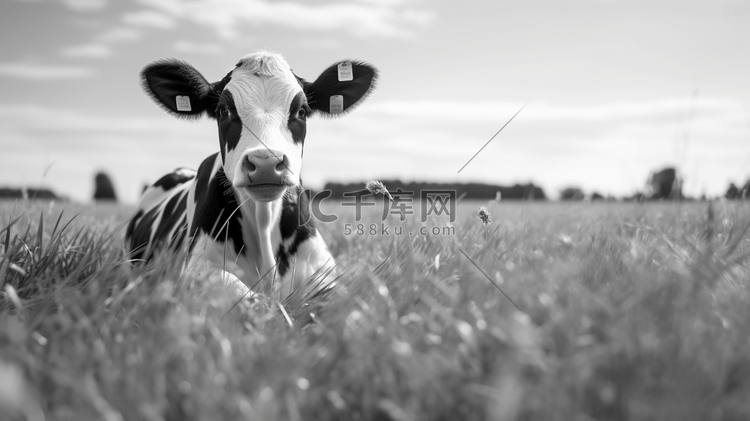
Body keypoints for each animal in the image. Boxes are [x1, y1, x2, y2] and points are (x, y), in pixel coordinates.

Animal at [125, 50, 378, 298]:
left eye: (302, 111)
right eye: (223, 111)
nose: (266, 162)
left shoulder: (322, 269)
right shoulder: (197, 267)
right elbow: (244, 296)